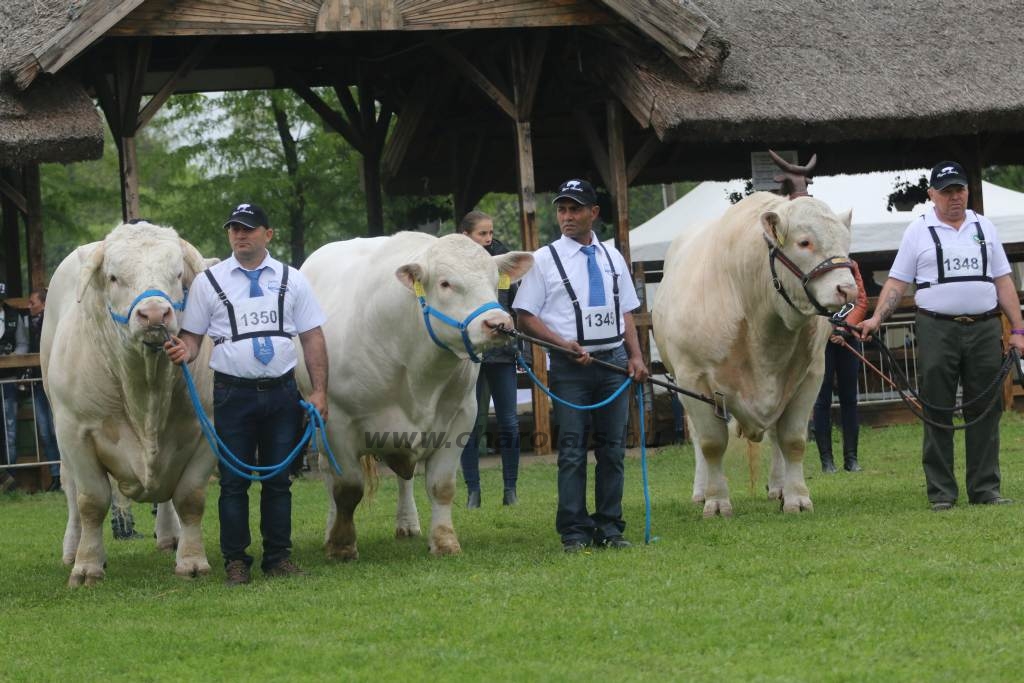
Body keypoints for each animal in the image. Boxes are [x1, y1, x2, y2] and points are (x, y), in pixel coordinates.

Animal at [40, 224, 215, 589]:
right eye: (114, 277)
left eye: (178, 274)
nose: (154, 314)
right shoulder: (75, 431)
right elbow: (91, 500)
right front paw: (86, 567)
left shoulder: (209, 428)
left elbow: (190, 497)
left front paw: (192, 561)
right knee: (71, 489)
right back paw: (72, 549)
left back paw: (170, 536)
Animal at [299, 232, 532, 557]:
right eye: (445, 283)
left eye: (495, 279)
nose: (499, 323)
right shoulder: (337, 422)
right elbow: (347, 488)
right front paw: (342, 544)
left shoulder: (461, 416)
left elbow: (442, 485)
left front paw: (444, 541)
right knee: (326, 472)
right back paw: (330, 529)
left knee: (404, 477)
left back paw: (407, 523)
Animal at [651, 192, 860, 518]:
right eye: (804, 242)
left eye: (846, 241)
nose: (847, 289)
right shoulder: (693, 379)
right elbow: (711, 443)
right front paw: (716, 501)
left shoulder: (810, 376)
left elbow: (793, 440)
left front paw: (797, 497)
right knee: (698, 439)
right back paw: (700, 491)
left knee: (774, 435)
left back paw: (778, 487)